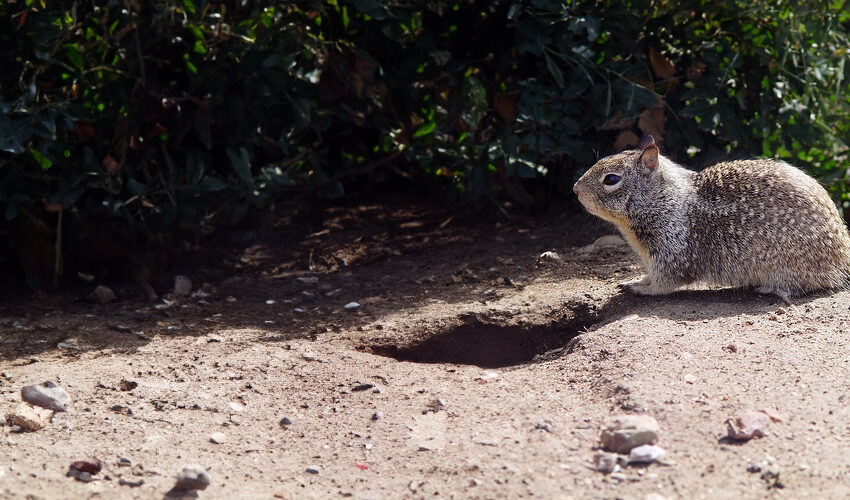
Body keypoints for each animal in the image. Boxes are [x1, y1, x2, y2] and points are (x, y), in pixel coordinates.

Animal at [568, 136, 848, 300]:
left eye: (611, 179)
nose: (575, 189)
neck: (663, 200)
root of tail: (842, 257)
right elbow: (649, 275)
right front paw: (635, 280)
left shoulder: (671, 254)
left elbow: (662, 283)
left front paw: (641, 288)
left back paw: (770, 288)